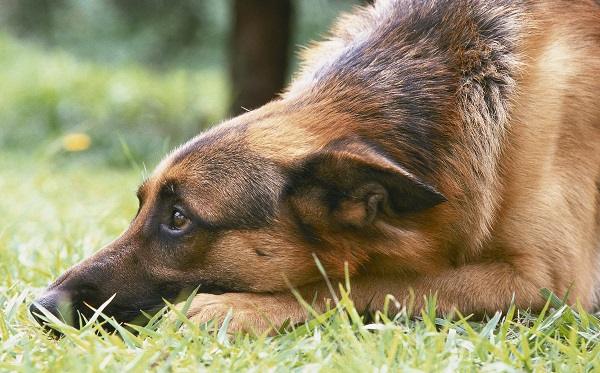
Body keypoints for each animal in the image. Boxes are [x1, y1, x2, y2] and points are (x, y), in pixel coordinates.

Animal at [31, 0, 600, 332]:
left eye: (178, 219)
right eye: (140, 207)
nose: (40, 305)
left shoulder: (542, 284)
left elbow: (374, 283)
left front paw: (242, 307)